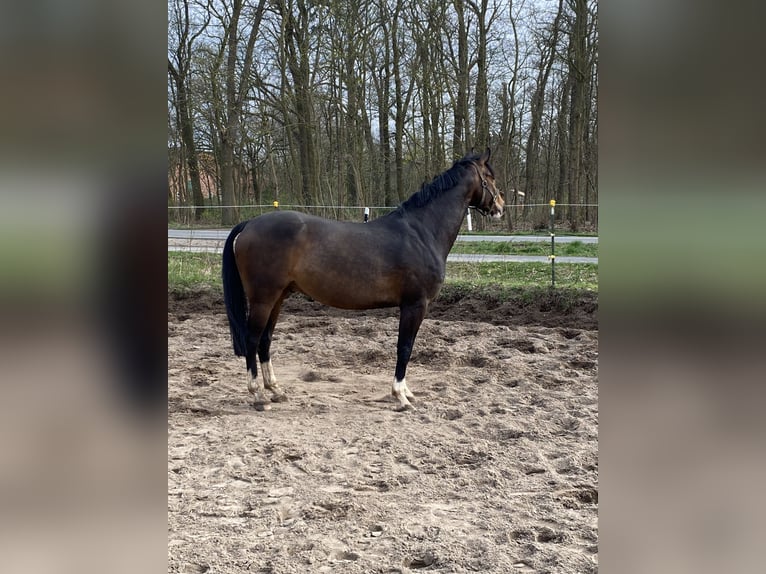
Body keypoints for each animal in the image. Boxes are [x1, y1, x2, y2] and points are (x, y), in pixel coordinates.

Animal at [221, 148, 505, 411]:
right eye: (490, 176)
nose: (500, 206)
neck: (421, 232)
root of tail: (249, 224)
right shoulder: (415, 305)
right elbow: (405, 348)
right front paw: (401, 396)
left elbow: (406, 348)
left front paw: (407, 393)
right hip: (263, 299)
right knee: (252, 339)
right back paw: (257, 395)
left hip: (278, 297)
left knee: (265, 340)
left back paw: (276, 390)